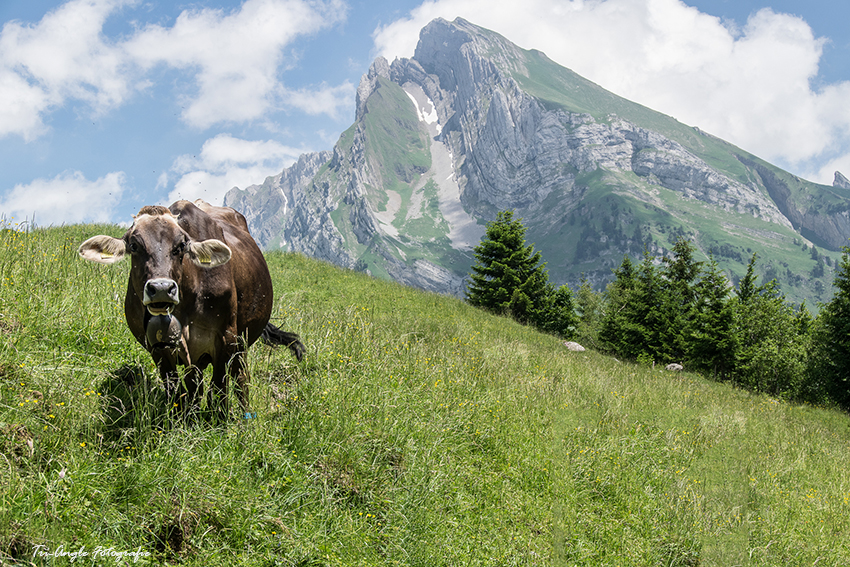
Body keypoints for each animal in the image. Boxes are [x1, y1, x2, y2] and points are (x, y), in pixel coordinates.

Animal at [77, 200, 302, 418]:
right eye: (134, 245)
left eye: (181, 245)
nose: (161, 288)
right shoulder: (158, 347)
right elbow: (176, 390)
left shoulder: (226, 338)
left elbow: (218, 388)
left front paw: (217, 422)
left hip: (241, 340)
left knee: (240, 378)